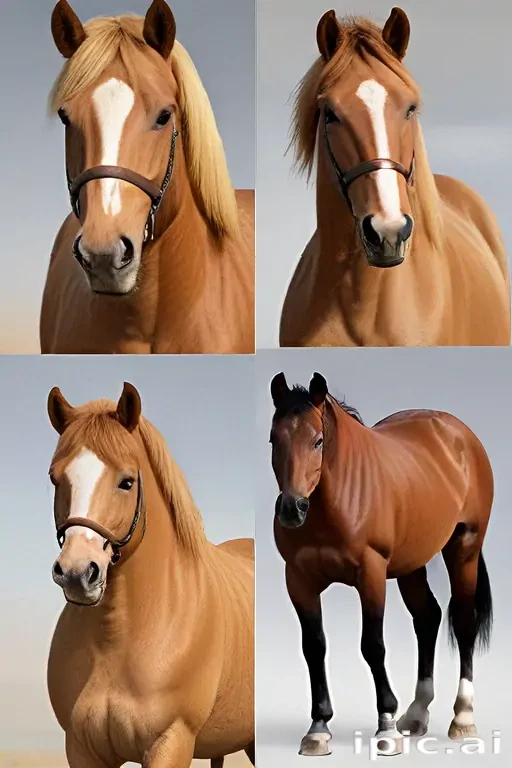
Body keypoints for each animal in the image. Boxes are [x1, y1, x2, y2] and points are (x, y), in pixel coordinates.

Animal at [269, 371, 494, 757]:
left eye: (317, 441)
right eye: (273, 439)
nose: (291, 509)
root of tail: (459, 433)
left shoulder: (370, 574)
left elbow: (372, 645)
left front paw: (386, 724)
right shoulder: (298, 580)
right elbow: (314, 647)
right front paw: (318, 728)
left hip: (464, 547)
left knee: (464, 622)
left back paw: (462, 717)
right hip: (412, 564)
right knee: (428, 618)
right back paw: (416, 714)